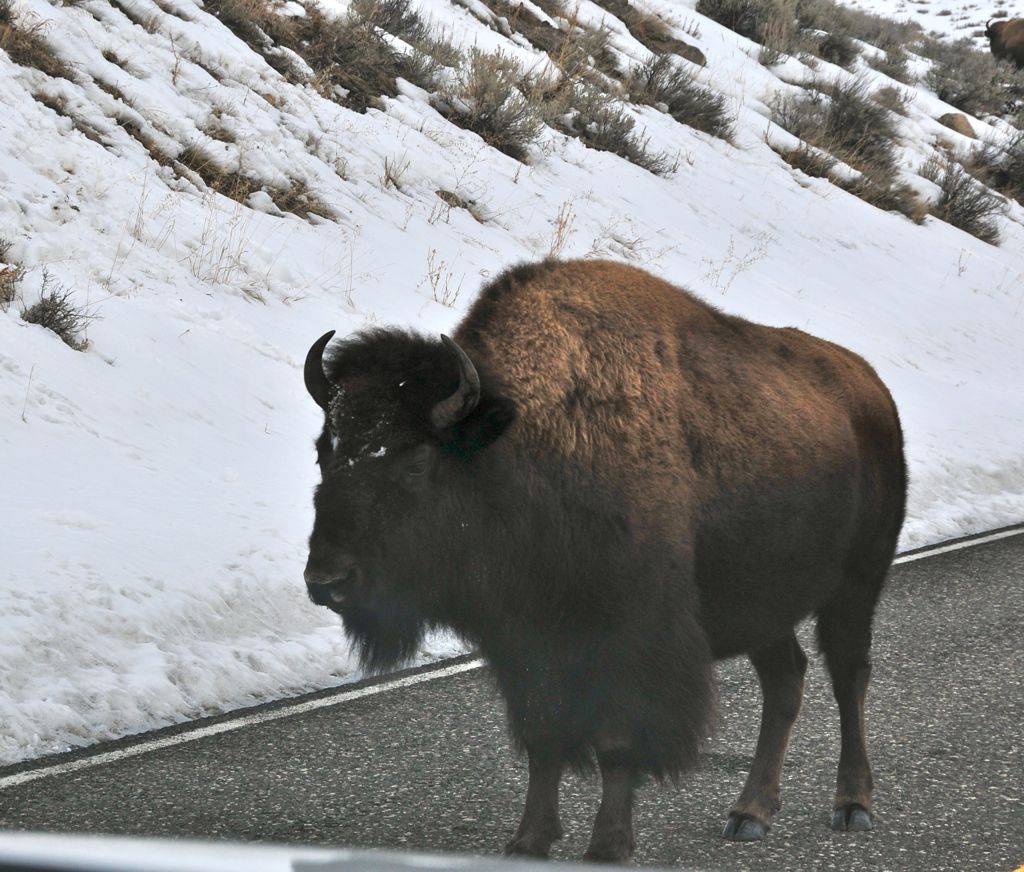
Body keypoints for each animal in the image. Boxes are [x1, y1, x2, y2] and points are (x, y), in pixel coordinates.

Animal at [303, 258, 906, 862]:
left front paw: (607, 846)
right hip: (764, 607)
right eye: (323, 450)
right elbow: (543, 739)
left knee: (848, 676)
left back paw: (852, 805)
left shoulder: (631, 642)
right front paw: (528, 841)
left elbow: (617, 743)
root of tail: (873, 389)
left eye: (417, 460)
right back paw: (749, 813)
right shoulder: (526, 644)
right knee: (785, 681)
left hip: (856, 586)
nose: (326, 580)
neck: (522, 447)